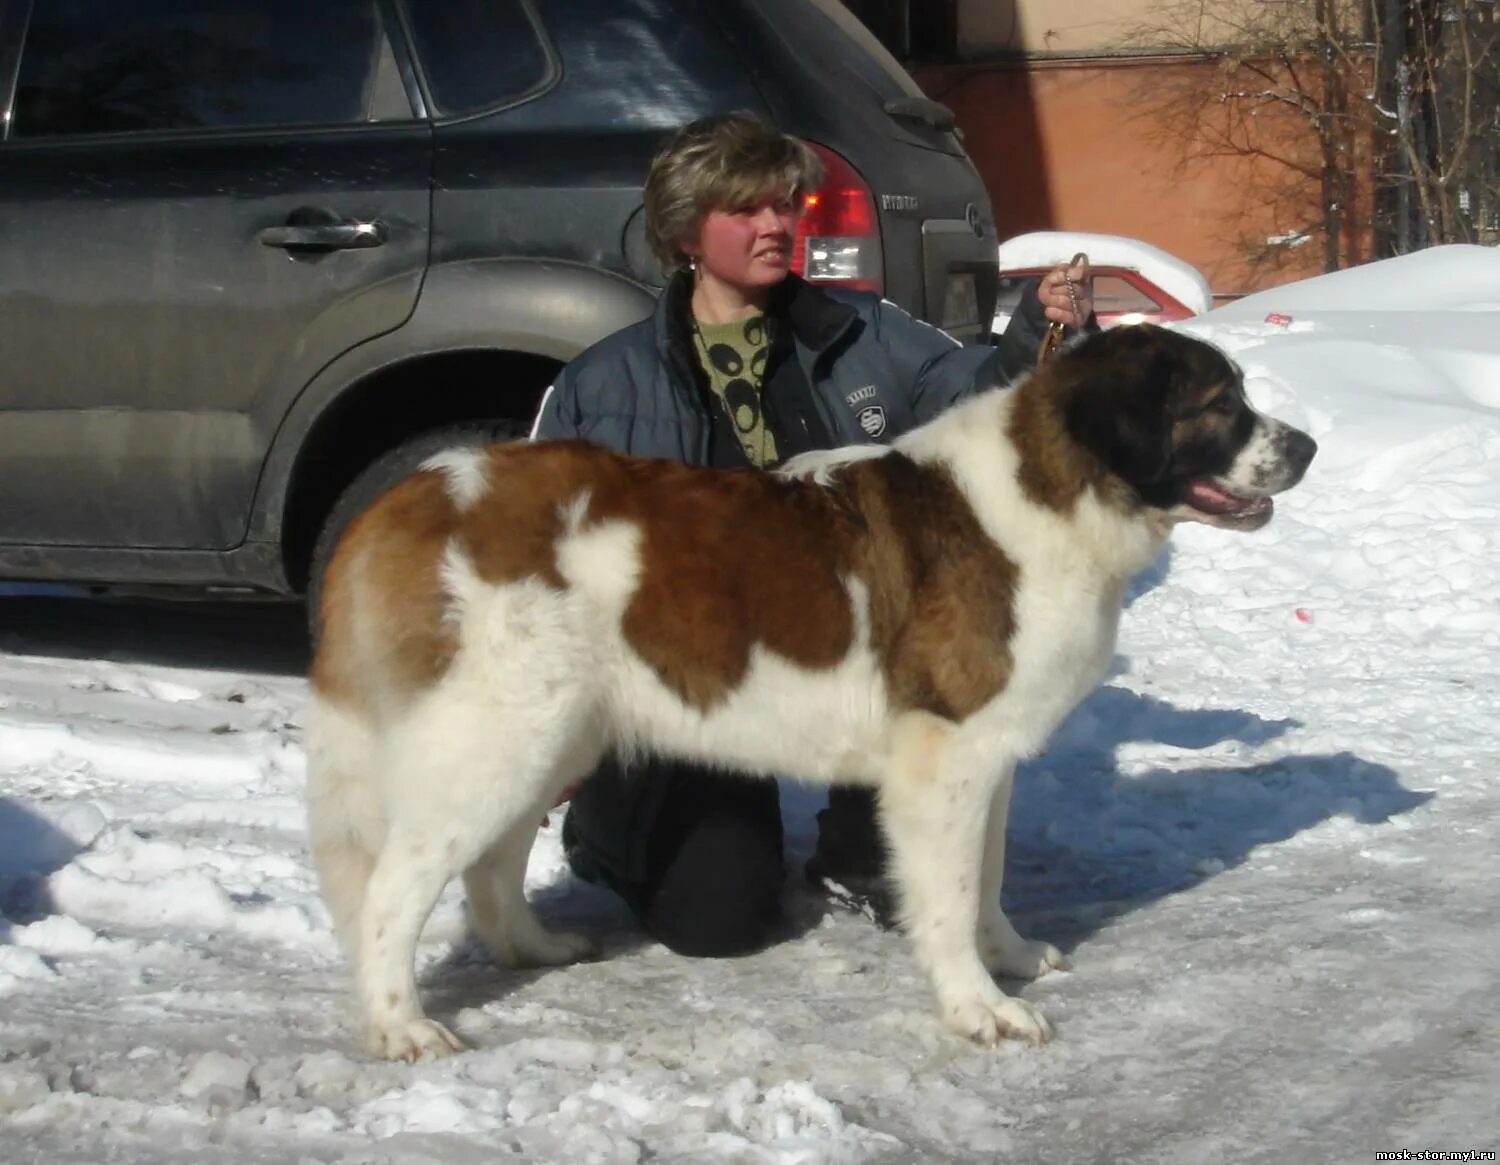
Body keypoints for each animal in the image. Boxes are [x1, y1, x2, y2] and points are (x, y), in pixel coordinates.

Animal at [301, 322, 1314, 1061]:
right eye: (1221, 405)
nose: (1304, 444)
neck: (1059, 489)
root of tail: (414, 492)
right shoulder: (946, 756)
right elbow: (950, 890)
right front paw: (978, 1007)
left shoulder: (988, 754)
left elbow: (985, 877)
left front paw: (1010, 958)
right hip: (496, 736)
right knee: (393, 887)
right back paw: (400, 1024)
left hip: (552, 734)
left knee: (491, 861)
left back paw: (533, 949)